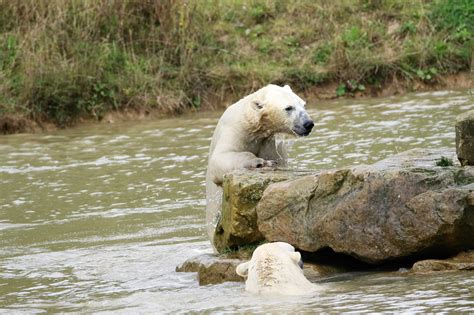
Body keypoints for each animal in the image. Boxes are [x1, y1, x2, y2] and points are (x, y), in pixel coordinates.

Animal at [205, 84, 312, 247]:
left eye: (303, 104)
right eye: (288, 108)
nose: (308, 124)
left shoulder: (270, 143)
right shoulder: (235, 129)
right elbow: (220, 158)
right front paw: (259, 162)